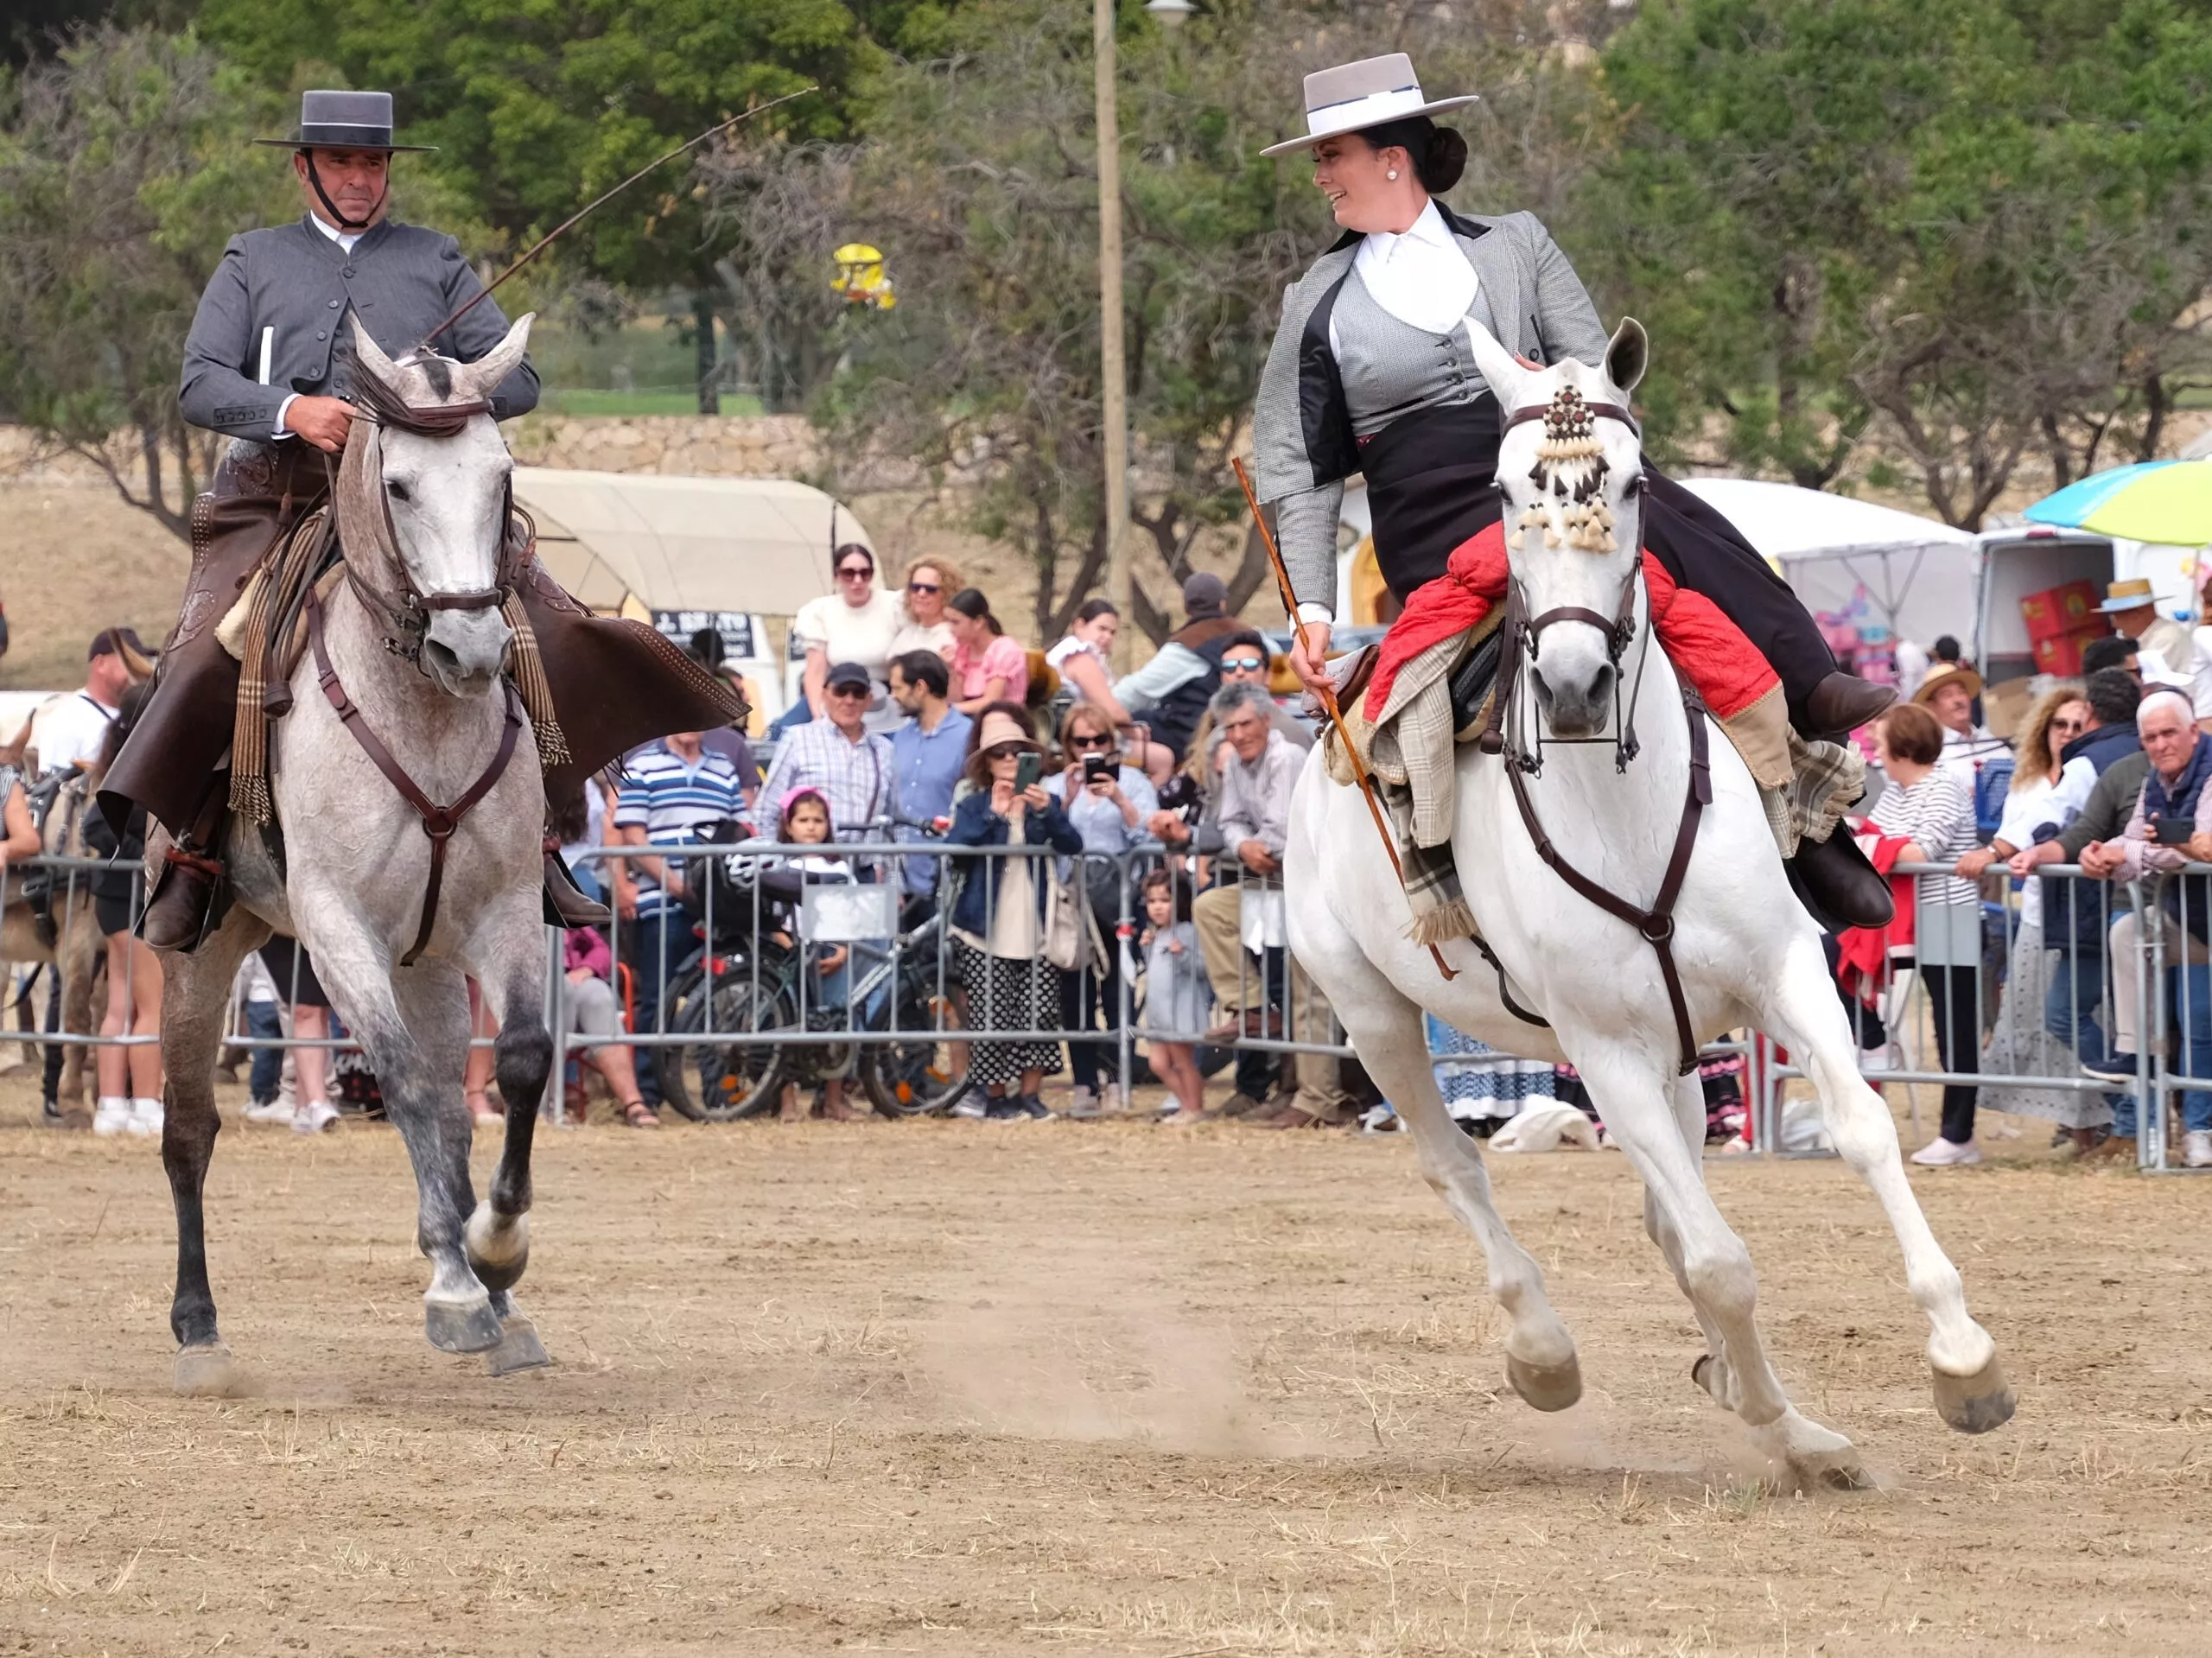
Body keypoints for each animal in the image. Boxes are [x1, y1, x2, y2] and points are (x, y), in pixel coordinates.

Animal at [153, 314, 553, 1406]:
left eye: (501, 474)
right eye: (401, 485)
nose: (471, 649)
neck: (419, 711)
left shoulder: (504, 915)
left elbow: (519, 1063)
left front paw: (495, 1252)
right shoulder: (337, 930)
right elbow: (406, 1082)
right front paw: (455, 1288)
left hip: (428, 964)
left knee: (453, 1119)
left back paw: (496, 1294)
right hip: (205, 953)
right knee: (189, 1131)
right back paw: (198, 1328)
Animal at [1282, 318, 2025, 1485]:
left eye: (1630, 484)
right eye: (1502, 491)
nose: (1574, 682)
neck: (1621, 811)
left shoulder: (1786, 976)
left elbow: (1860, 1132)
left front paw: (1961, 1361)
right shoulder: (1605, 1053)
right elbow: (1720, 1258)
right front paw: (1778, 1414)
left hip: (1679, 1049)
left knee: (1656, 1210)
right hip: (1375, 1014)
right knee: (1459, 1167)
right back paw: (1548, 1352)